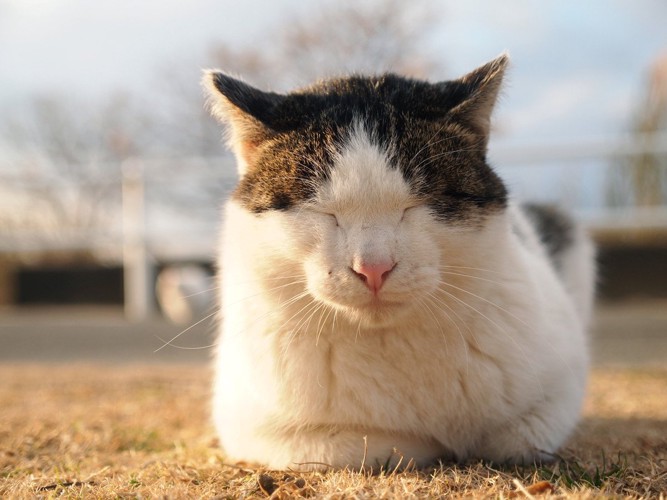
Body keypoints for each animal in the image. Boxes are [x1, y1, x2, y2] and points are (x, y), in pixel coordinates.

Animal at [202, 54, 596, 472]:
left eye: (415, 206)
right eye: (323, 212)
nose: (373, 267)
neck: (389, 343)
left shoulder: (558, 391)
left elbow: (512, 438)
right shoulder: (260, 429)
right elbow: (374, 444)